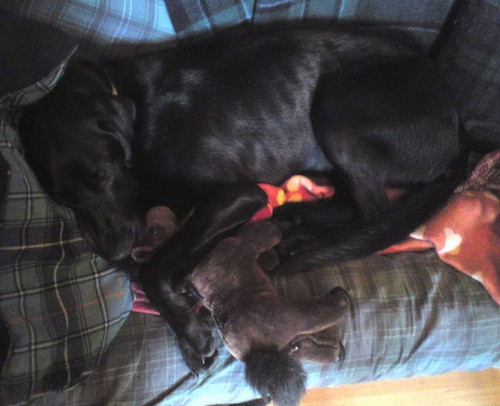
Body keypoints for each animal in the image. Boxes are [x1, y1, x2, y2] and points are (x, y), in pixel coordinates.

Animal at [19, 26, 464, 402]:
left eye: (101, 175)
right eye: (64, 199)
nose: (113, 252)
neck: (134, 108)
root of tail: (458, 132)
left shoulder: (237, 193)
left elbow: (155, 264)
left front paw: (190, 332)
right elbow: (170, 252)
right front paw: (185, 304)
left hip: (337, 105)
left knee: (372, 211)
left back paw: (299, 239)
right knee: (347, 202)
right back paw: (292, 220)